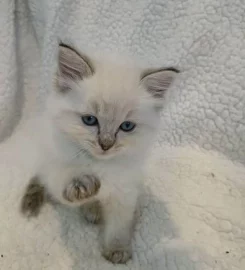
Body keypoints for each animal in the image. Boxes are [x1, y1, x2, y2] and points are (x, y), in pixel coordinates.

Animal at [20, 44, 178, 264]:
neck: (100, 166)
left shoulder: (124, 192)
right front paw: (81, 185)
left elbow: (119, 227)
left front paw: (117, 251)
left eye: (126, 126)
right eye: (89, 120)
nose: (106, 145)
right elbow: (65, 178)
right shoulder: (57, 165)